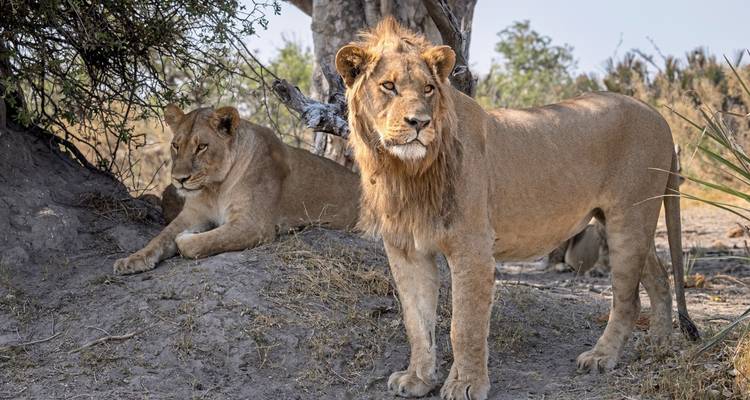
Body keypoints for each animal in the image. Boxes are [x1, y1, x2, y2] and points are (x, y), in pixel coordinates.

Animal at [113, 105, 359, 275]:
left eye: (201, 147)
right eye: (176, 145)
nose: (179, 179)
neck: (214, 188)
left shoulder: (253, 225)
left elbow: (200, 243)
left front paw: (189, 237)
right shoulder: (192, 215)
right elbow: (160, 237)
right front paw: (132, 260)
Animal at [335, 18, 694, 400]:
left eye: (429, 88)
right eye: (388, 86)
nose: (419, 122)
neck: (405, 170)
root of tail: (657, 115)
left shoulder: (473, 247)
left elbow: (464, 325)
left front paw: (465, 384)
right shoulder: (406, 249)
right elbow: (417, 322)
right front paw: (417, 379)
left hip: (628, 218)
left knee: (628, 299)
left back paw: (601, 357)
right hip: (626, 221)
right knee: (659, 276)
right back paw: (658, 344)